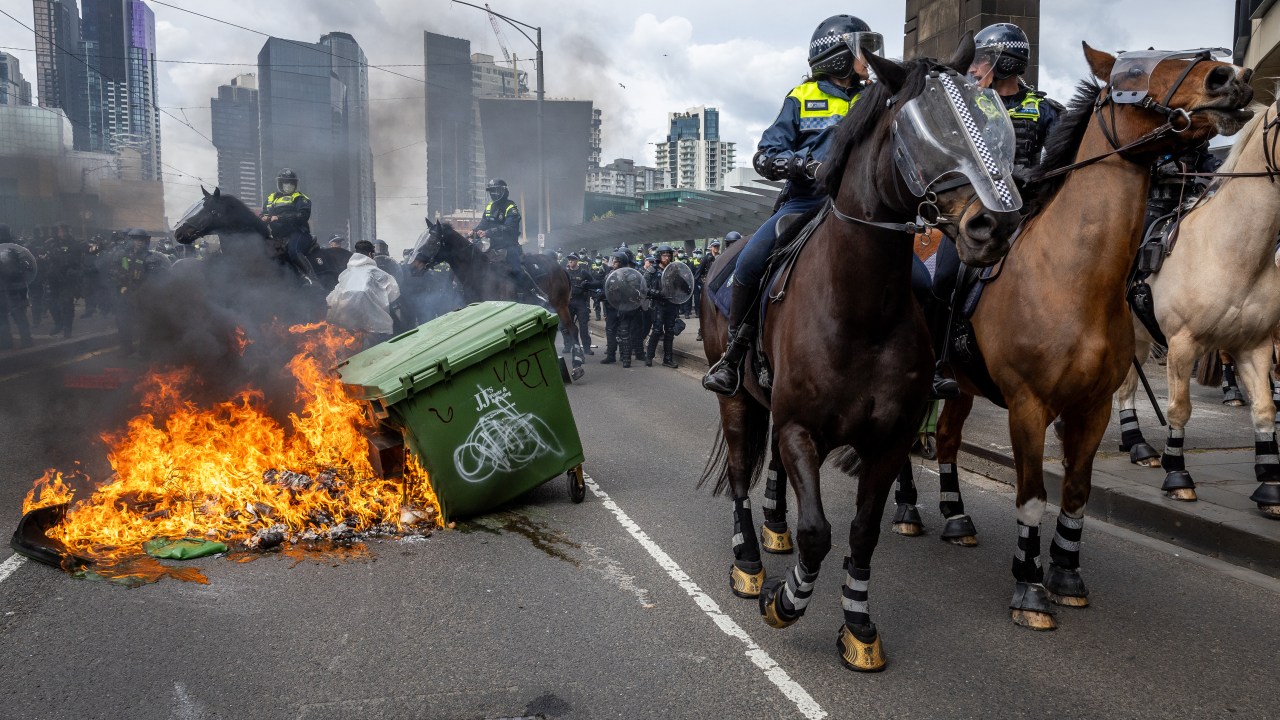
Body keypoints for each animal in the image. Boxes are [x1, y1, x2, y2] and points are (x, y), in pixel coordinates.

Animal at [701, 37, 1018, 666]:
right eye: (921, 132)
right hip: (737, 398)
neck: (859, 312)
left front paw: (858, 626)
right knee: (744, 471)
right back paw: (748, 560)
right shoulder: (800, 427)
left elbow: (862, 532)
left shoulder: (887, 439)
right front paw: (785, 600)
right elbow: (817, 531)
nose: (994, 224)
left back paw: (772, 533)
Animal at [911, 46, 1259, 627]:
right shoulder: (1028, 406)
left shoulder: (1092, 408)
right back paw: (907, 510)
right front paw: (1029, 588)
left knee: (947, 439)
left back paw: (956, 518)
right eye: (1133, 73)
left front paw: (1066, 574)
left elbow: (1075, 493)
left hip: (959, 385)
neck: (1072, 279)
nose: (1230, 76)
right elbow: (1032, 496)